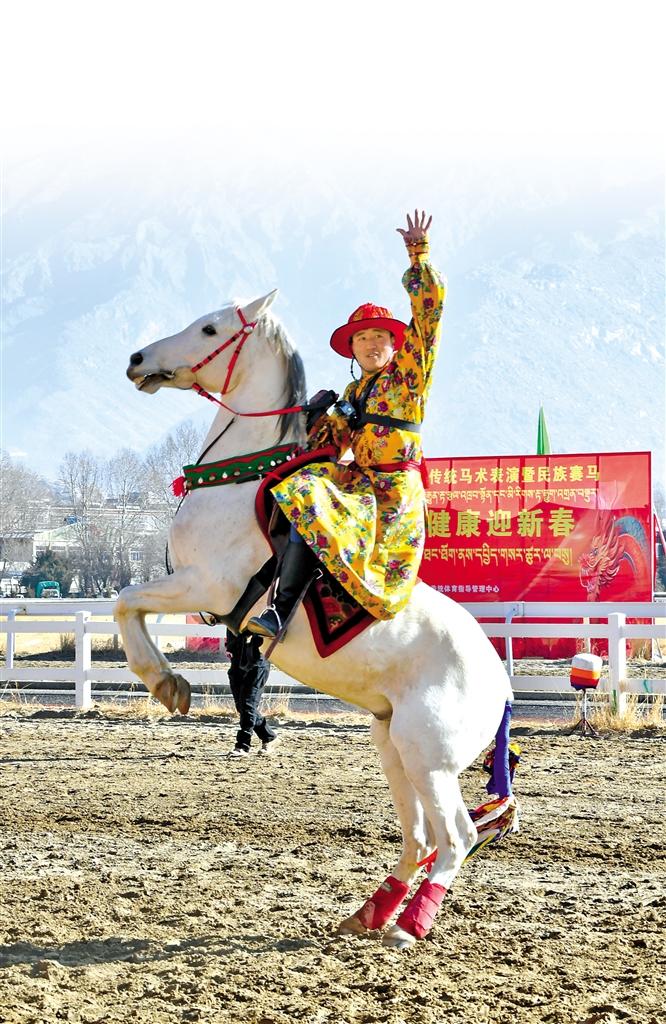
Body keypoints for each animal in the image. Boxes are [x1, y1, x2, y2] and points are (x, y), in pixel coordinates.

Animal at [115, 290, 515, 949]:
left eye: (210, 328)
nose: (138, 358)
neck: (237, 483)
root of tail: (501, 685)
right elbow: (129, 603)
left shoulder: (207, 586)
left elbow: (125, 600)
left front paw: (167, 684)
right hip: (393, 747)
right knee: (422, 839)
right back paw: (371, 914)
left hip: (427, 754)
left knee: (455, 838)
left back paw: (410, 925)